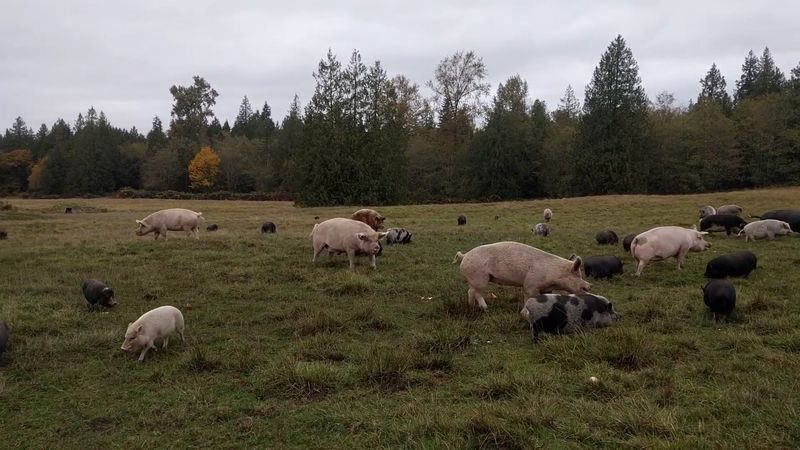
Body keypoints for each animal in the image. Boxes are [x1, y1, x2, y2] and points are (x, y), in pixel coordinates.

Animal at [453, 241, 591, 311]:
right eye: (577, 274)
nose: (589, 285)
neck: (553, 274)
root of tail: (464, 256)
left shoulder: (546, 288)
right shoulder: (531, 283)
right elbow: (529, 296)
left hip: (475, 279)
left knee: (471, 291)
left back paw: (474, 307)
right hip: (480, 278)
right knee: (475, 292)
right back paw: (483, 308)